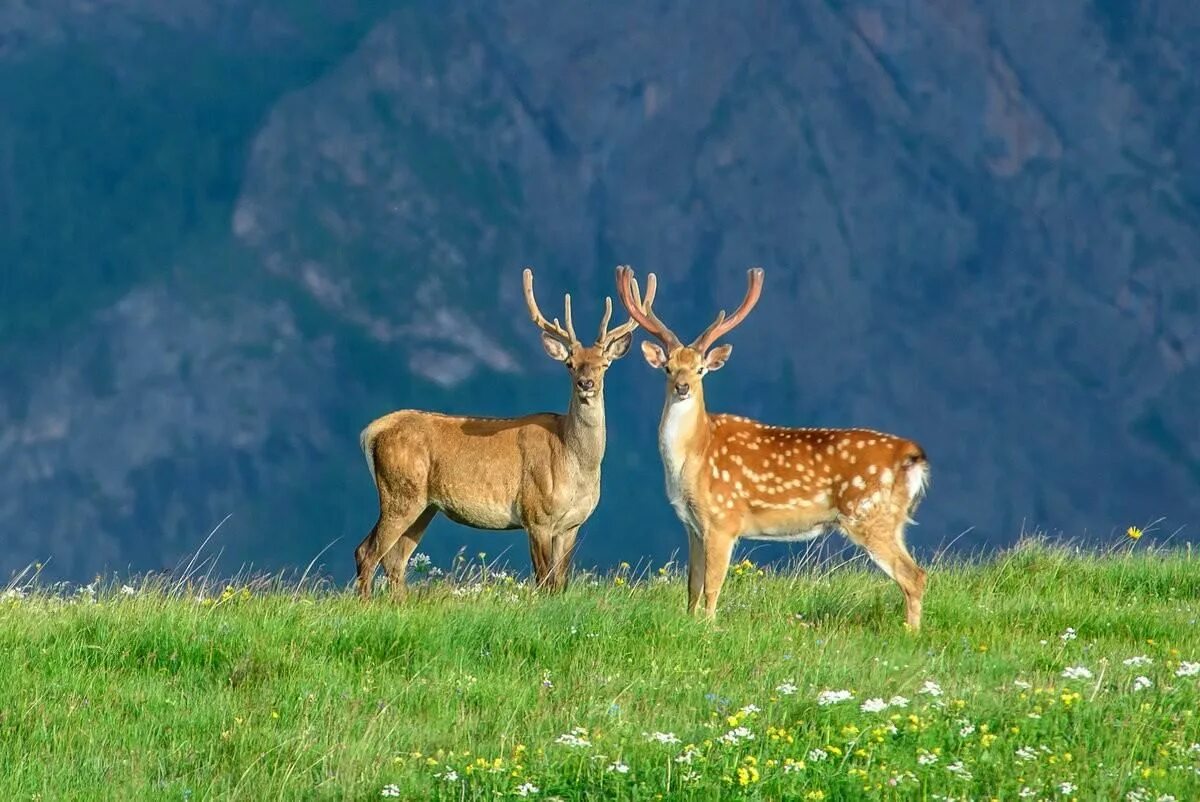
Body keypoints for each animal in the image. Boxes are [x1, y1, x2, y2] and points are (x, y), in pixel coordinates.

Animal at [352, 266, 652, 597]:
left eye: (604, 364)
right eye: (570, 364)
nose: (586, 383)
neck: (575, 462)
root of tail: (371, 431)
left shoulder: (571, 525)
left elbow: (560, 582)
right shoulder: (536, 515)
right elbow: (544, 580)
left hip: (423, 505)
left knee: (395, 558)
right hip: (400, 493)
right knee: (367, 551)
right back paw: (366, 603)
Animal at [614, 266, 931, 629]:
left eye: (700, 369)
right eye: (668, 368)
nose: (682, 387)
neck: (692, 458)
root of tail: (911, 454)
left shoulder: (724, 518)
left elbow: (712, 586)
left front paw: (709, 628)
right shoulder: (692, 525)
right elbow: (692, 586)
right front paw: (691, 623)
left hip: (869, 514)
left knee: (914, 575)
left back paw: (910, 633)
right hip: (893, 520)